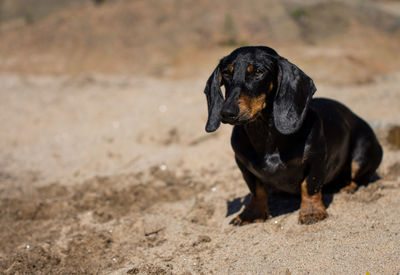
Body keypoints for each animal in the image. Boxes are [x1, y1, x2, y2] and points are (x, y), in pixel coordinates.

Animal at [205, 45, 382, 226]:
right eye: (226, 73)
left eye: (258, 72)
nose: (227, 113)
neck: (265, 134)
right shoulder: (242, 163)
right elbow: (256, 190)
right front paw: (252, 214)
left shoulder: (317, 159)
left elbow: (309, 186)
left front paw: (311, 212)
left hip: (361, 155)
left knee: (358, 176)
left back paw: (347, 187)